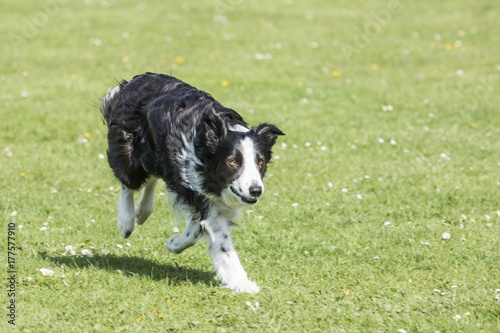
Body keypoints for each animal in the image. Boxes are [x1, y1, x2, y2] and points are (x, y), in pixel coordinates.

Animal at [99, 72, 284, 290]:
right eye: (233, 161)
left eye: (260, 161)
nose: (256, 190)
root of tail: (137, 79)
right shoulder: (202, 197)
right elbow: (223, 245)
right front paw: (242, 283)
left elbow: (195, 231)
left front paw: (173, 244)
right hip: (129, 149)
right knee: (127, 182)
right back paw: (127, 221)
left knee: (152, 176)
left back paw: (143, 211)